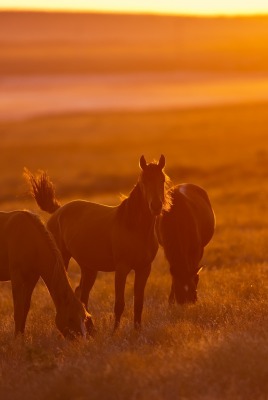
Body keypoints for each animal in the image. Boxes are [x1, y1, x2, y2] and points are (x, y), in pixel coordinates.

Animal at [0, 211, 94, 340]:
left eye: (84, 318)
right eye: (70, 318)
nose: (80, 340)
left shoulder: (32, 278)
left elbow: (25, 308)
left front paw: (22, 337)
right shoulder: (17, 277)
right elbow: (18, 310)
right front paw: (17, 339)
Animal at [24, 155, 169, 330]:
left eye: (162, 179)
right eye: (143, 181)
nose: (156, 206)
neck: (134, 227)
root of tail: (58, 210)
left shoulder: (144, 269)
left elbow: (138, 303)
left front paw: (137, 331)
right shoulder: (122, 269)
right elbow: (119, 304)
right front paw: (114, 332)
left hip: (89, 268)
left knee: (82, 293)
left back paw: (90, 327)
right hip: (64, 259)